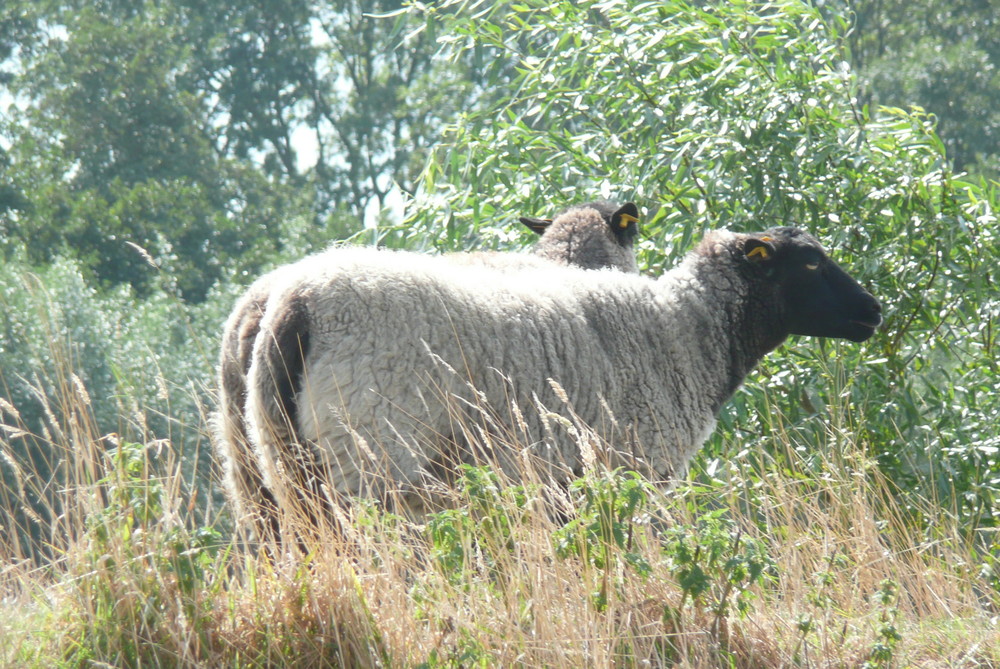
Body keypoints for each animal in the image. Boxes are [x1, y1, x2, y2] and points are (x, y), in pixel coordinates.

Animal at [248, 227, 884, 516]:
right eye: (811, 262)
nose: (873, 311)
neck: (685, 334)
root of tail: (299, 302)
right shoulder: (637, 467)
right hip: (372, 452)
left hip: (286, 460)